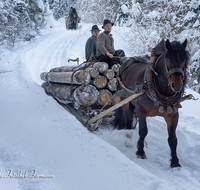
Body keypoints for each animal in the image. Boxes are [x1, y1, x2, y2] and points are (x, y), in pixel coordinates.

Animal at [115, 39, 190, 167]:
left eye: (184, 60)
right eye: (168, 60)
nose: (177, 85)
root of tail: (127, 61)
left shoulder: (173, 115)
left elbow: (173, 139)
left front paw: (175, 162)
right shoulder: (141, 109)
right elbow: (143, 131)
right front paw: (140, 152)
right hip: (125, 100)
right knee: (127, 118)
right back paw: (127, 137)